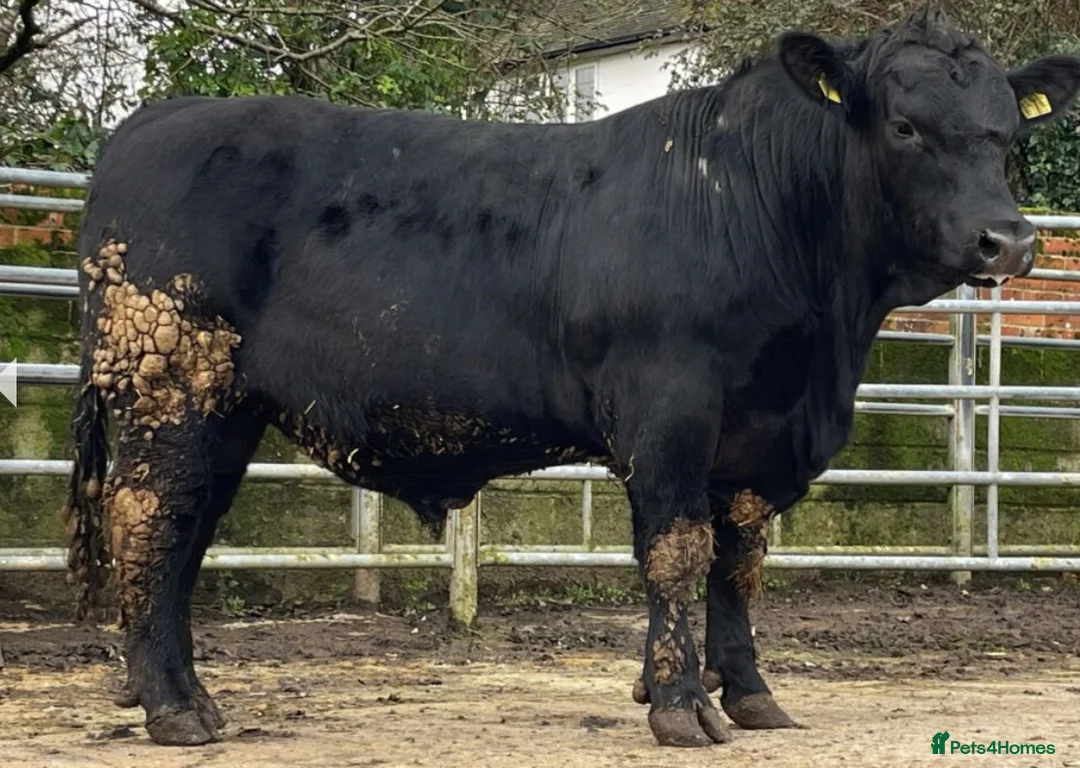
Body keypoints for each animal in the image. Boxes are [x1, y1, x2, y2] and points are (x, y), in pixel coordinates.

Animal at [61, 6, 1080, 750]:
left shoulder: (756, 436)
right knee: (152, 522)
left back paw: (168, 691)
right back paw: (175, 709)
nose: (1008, 241)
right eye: (906, 126)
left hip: (223, 410)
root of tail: (158, 118)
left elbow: (741, 563)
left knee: (183, 535)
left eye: (1003, 138)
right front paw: (679, 705)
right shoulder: (669, 411)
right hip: (171, 387)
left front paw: (750, 694)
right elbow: (678, 552)